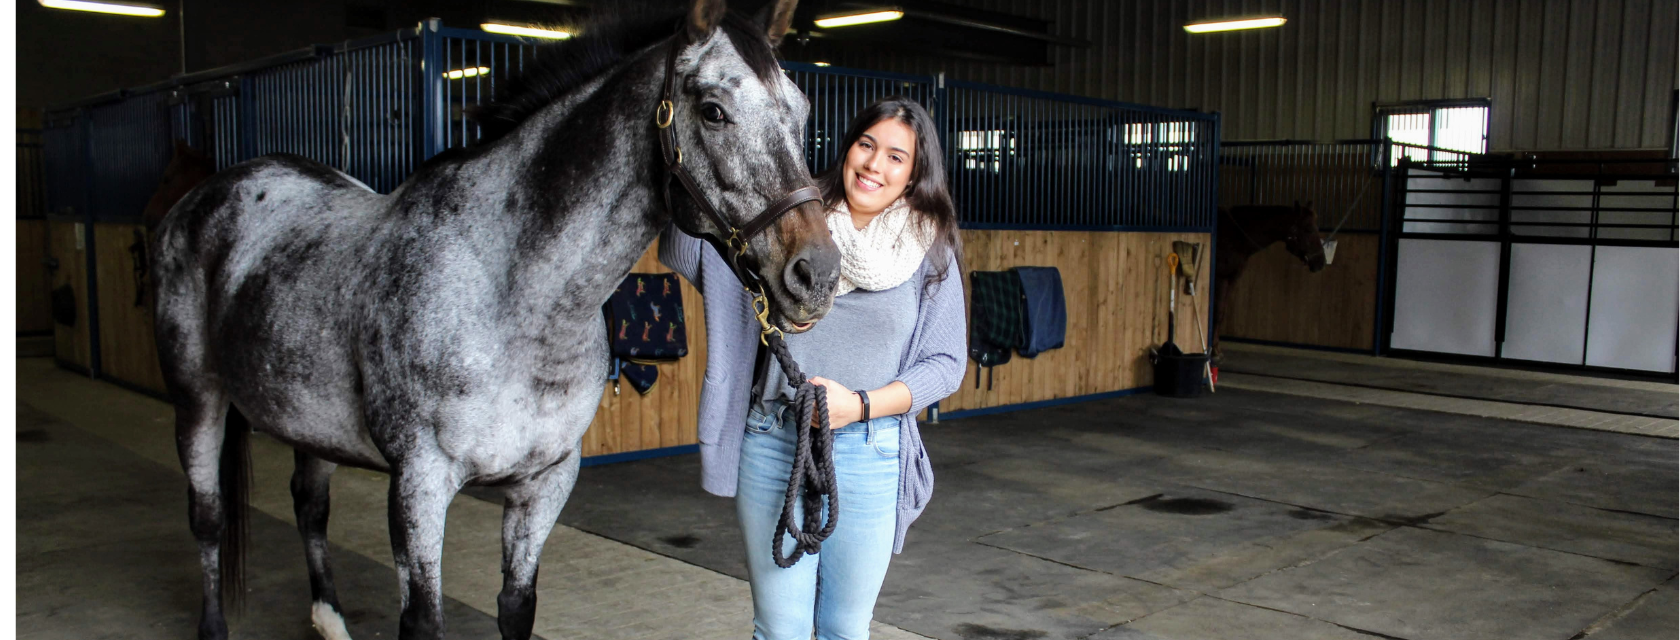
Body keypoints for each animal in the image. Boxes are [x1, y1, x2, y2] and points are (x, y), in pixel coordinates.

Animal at [149, 1, 838, 638]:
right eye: (713, 110)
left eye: (803, 112)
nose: (818, 274)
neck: (512, 298)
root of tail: (211, 193)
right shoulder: (419, 484)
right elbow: (422, 621)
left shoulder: (544, 483)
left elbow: (516, 606)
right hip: (197, 399)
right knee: (207, 518)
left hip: (310, 421)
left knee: (309, 506)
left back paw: (329, 618)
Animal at [1211, 202, 1326, 359]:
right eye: (1308, 229)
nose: (1320, 262)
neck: (1236, 238)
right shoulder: (1220, 278)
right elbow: (1217, 313)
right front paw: (1213, 351)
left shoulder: (1232, 279)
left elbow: (1221, 313)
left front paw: (1216, 347)